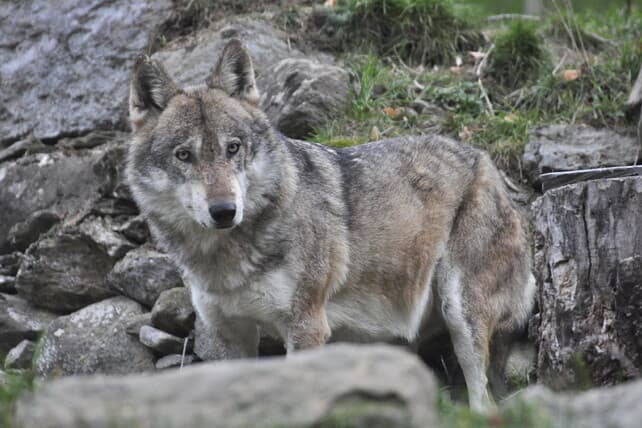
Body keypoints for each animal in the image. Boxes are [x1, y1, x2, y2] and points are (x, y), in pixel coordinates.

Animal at [126, 39, 535, 411]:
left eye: (233, 147)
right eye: (184, 155)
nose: (224, 211)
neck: (226, 258)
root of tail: (485, 160)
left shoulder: (306, 327)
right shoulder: (229, 334)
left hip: (460, 312)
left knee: (485, 400)